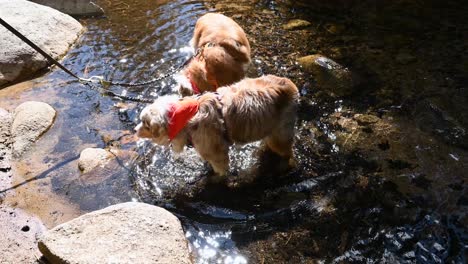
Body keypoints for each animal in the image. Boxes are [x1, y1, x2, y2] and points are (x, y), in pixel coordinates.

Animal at [133, 75, 298, 177]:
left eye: (145, 124)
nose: (134, 130)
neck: (184, 118)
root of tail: (290, 86)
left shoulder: (216, 154)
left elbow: (220, 170)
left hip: (280, 132)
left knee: (287, 151)